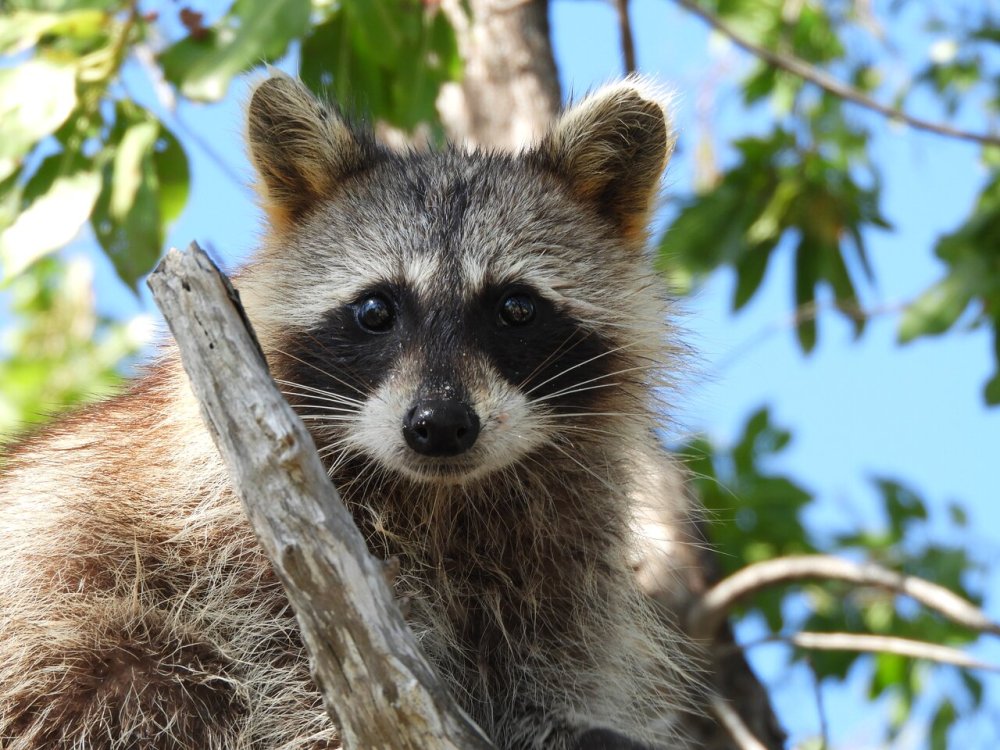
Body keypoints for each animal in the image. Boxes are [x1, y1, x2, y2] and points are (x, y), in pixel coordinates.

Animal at [0, 75, 700, 749]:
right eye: (375, 310)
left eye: (516, 308)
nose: (439, 427)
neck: (441, 498)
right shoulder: (229, 542)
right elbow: (277, 675)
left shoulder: (559, 562)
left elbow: (539, 685)